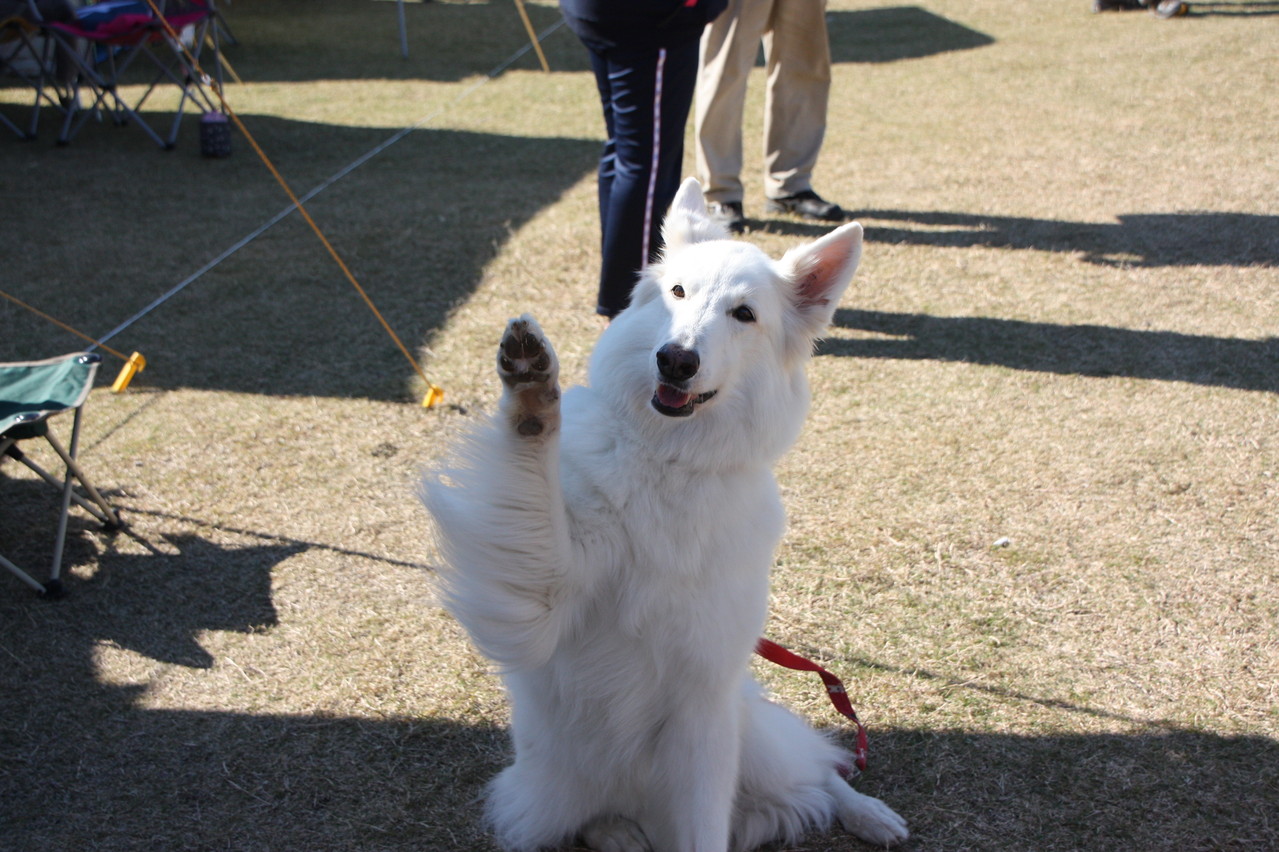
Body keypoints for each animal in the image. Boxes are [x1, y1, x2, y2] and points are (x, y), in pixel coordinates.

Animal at [424, 179, 905, 849]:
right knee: (599, 818)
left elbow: (703, 828)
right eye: (677, 293)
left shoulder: (702, 709)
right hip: (550, 793)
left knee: (818, 772)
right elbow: (531, 456)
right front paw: (531, 388)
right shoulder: (536, 600)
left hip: (753, 741)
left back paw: (869, 812)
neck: (669, 462)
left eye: (744, 314)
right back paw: (620, 833)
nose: (675, 360)